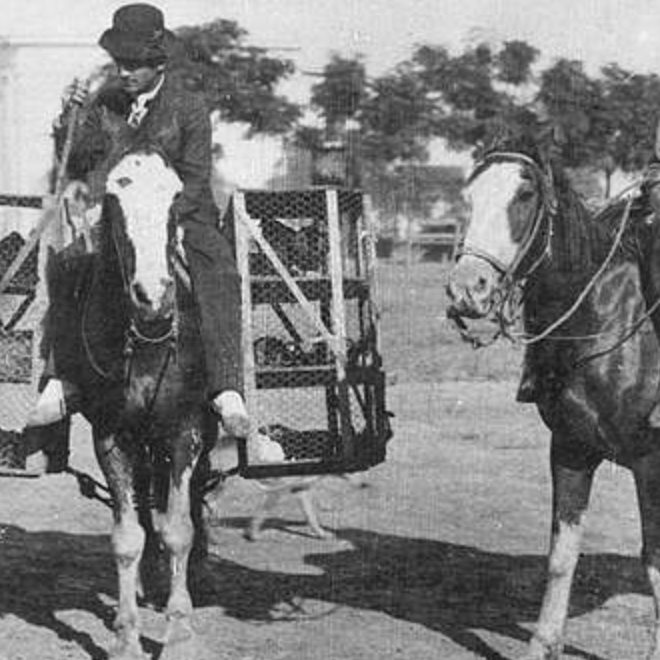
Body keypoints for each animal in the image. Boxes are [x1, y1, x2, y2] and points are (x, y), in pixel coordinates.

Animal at [51, 149, 214, 659]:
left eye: (175, 196)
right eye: (112, 199)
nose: (152, 294)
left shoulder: (186, 431)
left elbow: (179, 528)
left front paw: (179, 632)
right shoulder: (112, 435)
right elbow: (127, 536)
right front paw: (125, 635)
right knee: (143, 505)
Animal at [446, 143, 660, 660]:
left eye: (525, 196)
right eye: (468, 197)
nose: (467, 287)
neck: (610, 320)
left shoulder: (651, 460)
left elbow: (654, 560)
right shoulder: (570, 448)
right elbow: (562, 555)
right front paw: (543, 643)